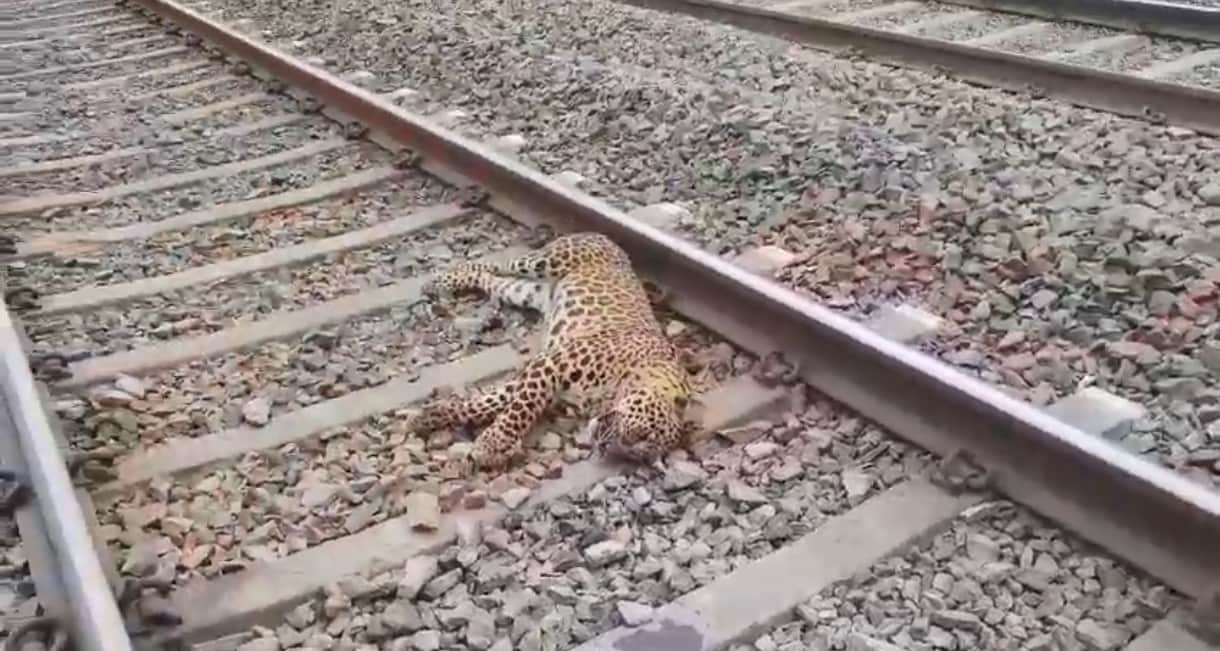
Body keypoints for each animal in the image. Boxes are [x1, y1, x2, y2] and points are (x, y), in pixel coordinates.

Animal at [408, 232, 696, 474]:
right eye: (642, 432)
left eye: (634, 455)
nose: (607, 447)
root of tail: (613, 241)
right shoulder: (550, 364)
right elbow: (519, 410)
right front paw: (491, 445)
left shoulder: (547, 382)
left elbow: (491, 401)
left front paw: (432, 415)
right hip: (544, 261)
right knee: (494, 265)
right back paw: (438, 281)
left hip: (524, 291)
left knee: (492, 279)